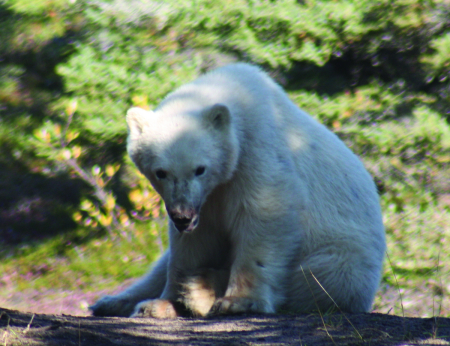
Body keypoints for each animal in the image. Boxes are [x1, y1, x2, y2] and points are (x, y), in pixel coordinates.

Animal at [89, 62, 384, 318]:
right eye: (160, 172)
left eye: (200, 169)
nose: (182, 216)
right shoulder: (205, 200)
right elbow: (193, 244)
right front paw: (165, 304)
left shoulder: (256, 154)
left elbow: (263, 216)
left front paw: (237, 301)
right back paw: (114, 302)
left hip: (346, 253)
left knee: (321, 279)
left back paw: (201, 290)